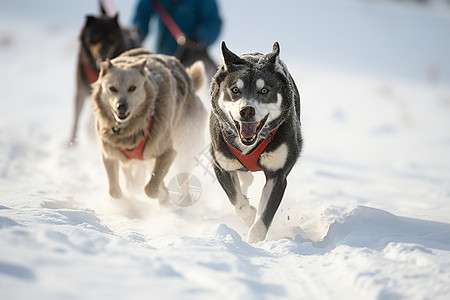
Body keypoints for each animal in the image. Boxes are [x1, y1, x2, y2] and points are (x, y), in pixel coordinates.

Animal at [67, 5, 139, 144]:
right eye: (95, 37)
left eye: (112, 38)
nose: (103, 50)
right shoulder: (81, 91)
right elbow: (76, 119)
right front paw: (71, 142)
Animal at [92, 48, 207, 202]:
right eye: (112, 88)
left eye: (132, 88)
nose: (121, 106)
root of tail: (190, 80)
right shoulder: (109, 154)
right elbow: (115, 191)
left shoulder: (168, 152)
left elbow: (150, 188)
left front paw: (161, 193)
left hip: (186, 142)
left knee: (182, 176)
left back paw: (184, 197)